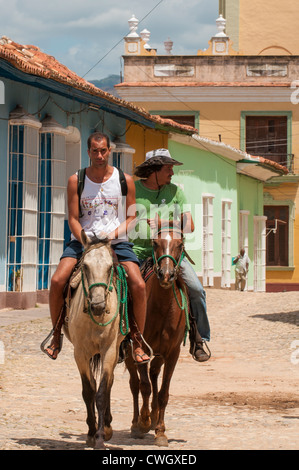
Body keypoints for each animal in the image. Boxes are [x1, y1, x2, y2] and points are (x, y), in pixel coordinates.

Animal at [126, 226, 190, 446]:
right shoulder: (141, 350)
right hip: (128, 353)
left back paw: (154, 418)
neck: (162, 307)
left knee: (154, 374)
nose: (166, 275)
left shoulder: (172, 354)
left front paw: (161, 432)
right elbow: (144, 386)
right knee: (135, 384)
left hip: (160, 355)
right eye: (155, 243)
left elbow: (163, 393)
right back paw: (137, 423)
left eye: (180, 244)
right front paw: (143, 422)